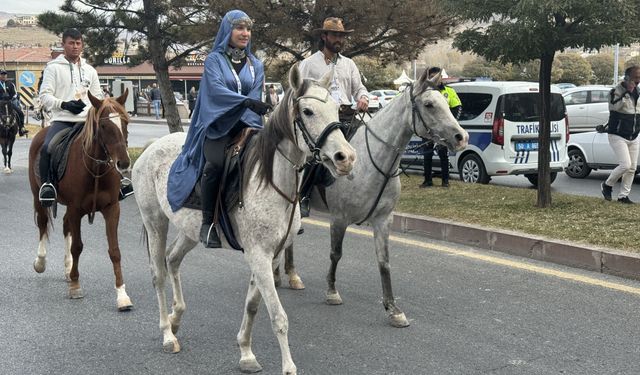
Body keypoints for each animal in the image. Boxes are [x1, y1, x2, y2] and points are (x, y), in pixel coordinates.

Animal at [28, 91, 133, 312]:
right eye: (104, 126)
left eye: (125, 122)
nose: (124, 163)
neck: (96, 169)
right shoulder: (76, 209)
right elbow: (77, 246)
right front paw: (76, 287)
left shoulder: (112, 209)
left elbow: (115, 251)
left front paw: (122, 295)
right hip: (39, 198)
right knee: (43, 224)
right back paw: (41, 262)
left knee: (65, 225)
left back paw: (68, 268)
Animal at [131, 65, 356, 375]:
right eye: (308, 111)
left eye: (336, 109)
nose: (346, 158)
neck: (271, 181)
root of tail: (151, 147)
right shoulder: (259, 255)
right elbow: (278, 316)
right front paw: (288, 367)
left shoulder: (270, 256)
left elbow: (253, 306)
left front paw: (246, 353)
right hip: (155, 222)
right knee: (158, 273)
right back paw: (167, 333)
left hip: (189, 232)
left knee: (172, 260)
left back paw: (176, 319)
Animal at [278, 69, 468, 328]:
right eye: (429, 104)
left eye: (446, 102)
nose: (462, 137)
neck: (372, 162)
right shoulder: (339, 218)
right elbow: (335, 253)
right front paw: (332, 292)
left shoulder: (383, 220)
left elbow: (383, 262)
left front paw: (393, 309)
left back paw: (290, 274)